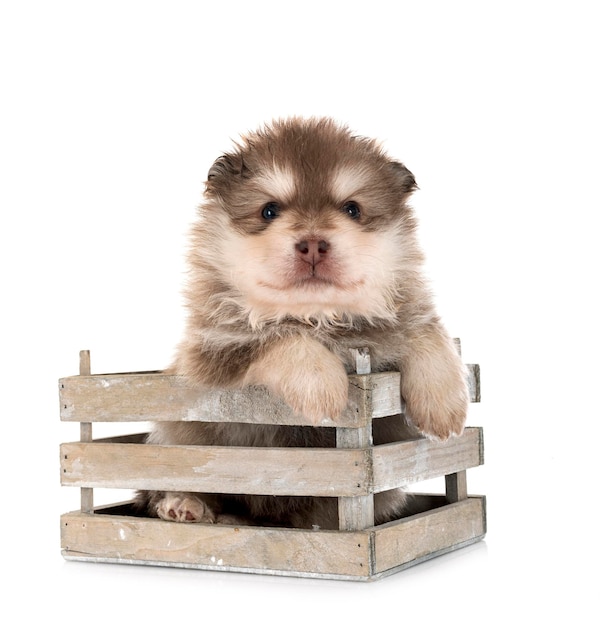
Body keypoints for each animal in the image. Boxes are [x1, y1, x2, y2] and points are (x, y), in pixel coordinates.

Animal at [137, 116, 468, 528]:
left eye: (353, 209)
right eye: (269, 210)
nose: (312, 244)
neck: (318, 314)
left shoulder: (402, 318)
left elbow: (428, 334)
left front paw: (446, 408)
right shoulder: (215, 347)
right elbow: (283, 338)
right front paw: (322, 387)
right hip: (179, 439)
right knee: (167, 484)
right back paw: (186, 504)